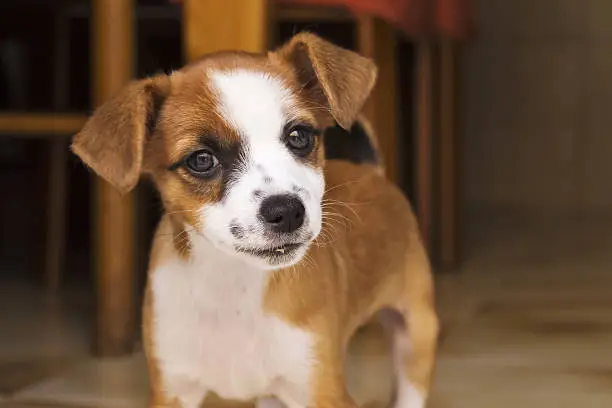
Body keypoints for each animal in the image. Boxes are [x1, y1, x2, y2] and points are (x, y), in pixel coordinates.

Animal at [71, 34, 438, 408]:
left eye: (299, 136)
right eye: (201, 160)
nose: (287, 211)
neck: (232, 284)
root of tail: (370, 171)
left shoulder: (321, 388)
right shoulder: (172, 389)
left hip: (415, 331)